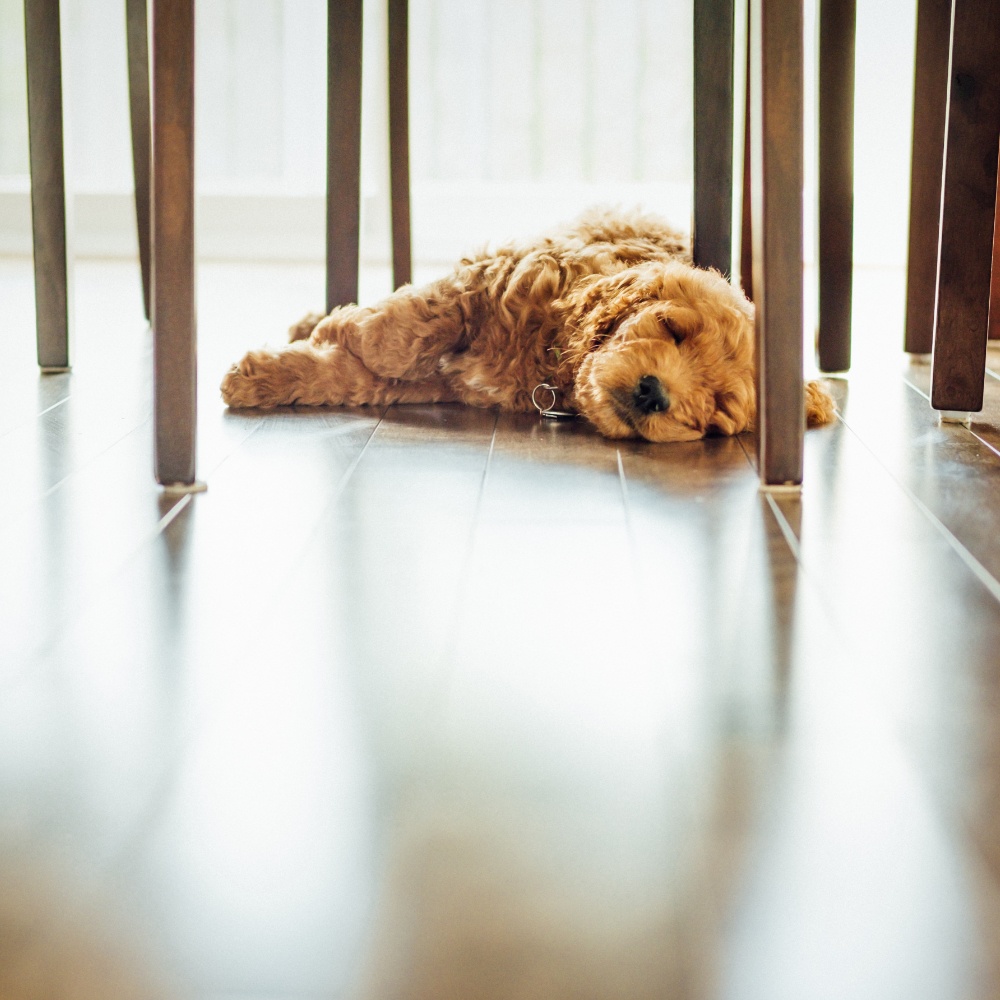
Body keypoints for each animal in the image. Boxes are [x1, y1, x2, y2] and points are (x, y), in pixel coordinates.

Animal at [221, 209, 836, 440]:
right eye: (670, 328)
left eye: (719, 410)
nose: (653, 393)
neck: (551, 359)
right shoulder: (494, 277)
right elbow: (400, 331)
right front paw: (342, 330)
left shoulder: (445, 380)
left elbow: (356, 376)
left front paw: (261, 376)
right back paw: (317, 318)